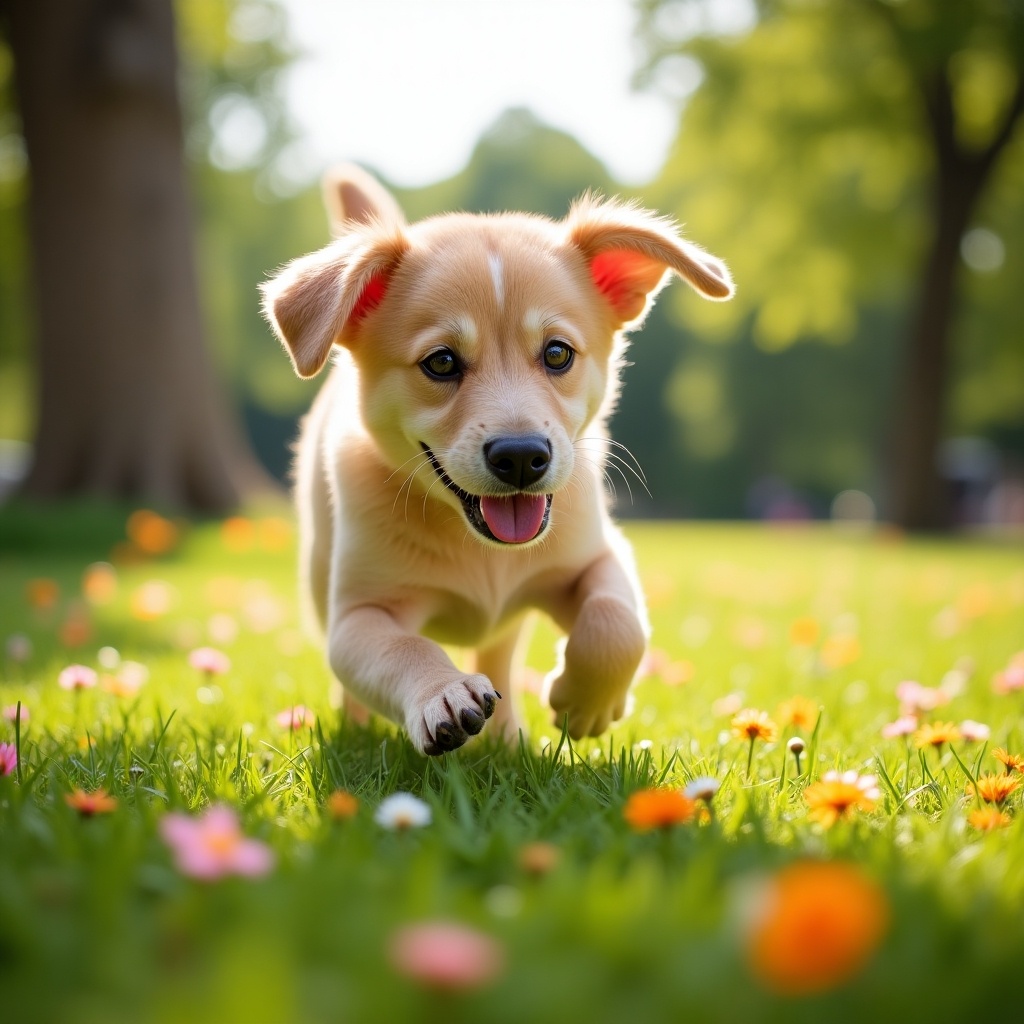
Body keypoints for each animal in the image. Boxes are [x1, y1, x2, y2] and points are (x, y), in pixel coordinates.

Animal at [260, 167, 733, 757]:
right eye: (441, 362)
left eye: (557, 353)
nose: (523, 457)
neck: (479, 547)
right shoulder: (359, 616)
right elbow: (405, 649)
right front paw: (443, 694)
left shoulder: (598, 556)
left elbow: (616, 623)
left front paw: (585, 703)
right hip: (320, 579)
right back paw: (357, 732)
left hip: (508, 624)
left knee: (501, 655)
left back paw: (507, 739)